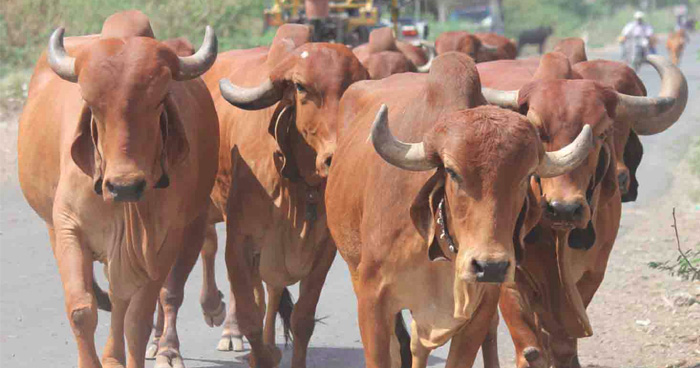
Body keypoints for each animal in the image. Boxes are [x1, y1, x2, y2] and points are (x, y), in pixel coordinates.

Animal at [17, 10, 219, 366]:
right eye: (90, 103)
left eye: (159, 100)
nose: (125, 187)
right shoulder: (68, 227)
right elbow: (82, 310)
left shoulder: (162, 241)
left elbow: (136, 319)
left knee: (127, 301)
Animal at [484, 53, 688, 366]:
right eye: (536, 131)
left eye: (602, 132)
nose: (564, 209)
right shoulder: (508, 278)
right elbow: (531, 348)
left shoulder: (592, 273)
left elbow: (563, 342)